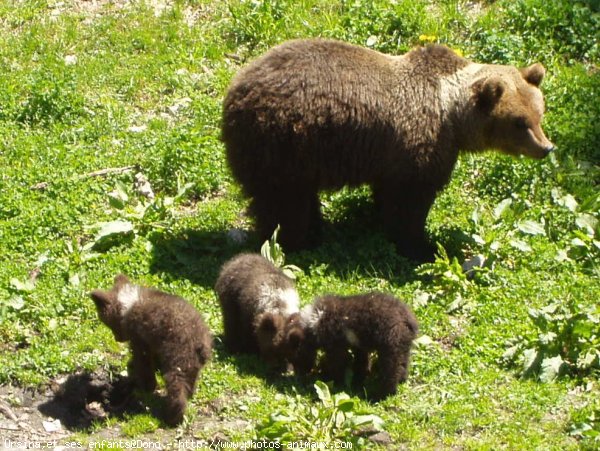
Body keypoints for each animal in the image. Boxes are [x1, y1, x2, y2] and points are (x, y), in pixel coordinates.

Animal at [220, 41, 552, 264]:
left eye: (539, 113)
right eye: (519, 122)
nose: (546, 147)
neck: (451, 114)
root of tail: (233, 91)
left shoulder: (390, 158)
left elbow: (386, 195)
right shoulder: (418, 148)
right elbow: (409, 204)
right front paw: (421, 247)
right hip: (283, 141)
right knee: (284, 201)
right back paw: (298, 240)